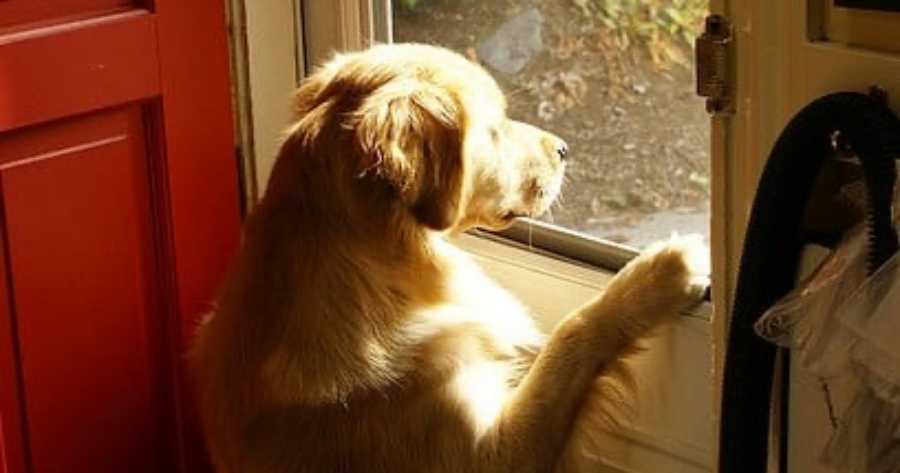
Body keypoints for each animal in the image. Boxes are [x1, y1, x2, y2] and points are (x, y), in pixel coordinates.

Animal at [191, 43, 707, 473]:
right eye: (494, 128)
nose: (564, 149)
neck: (382, 268)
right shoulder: (492, 456)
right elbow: (573, 331)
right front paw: (664, 271)